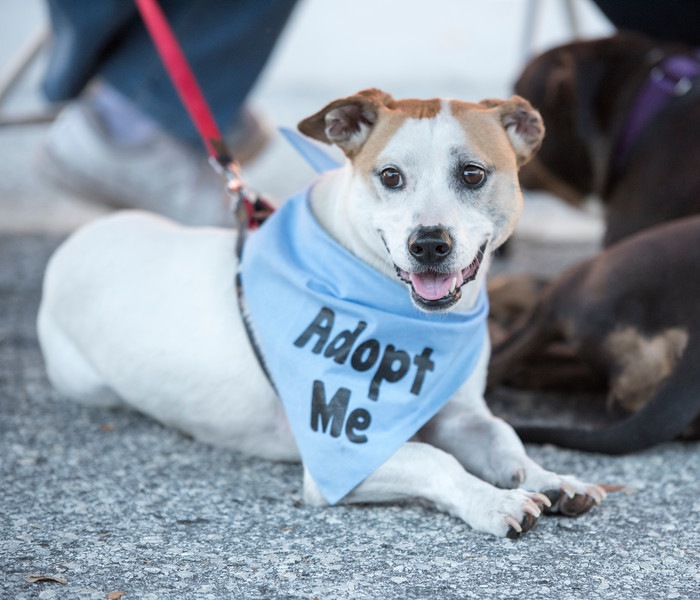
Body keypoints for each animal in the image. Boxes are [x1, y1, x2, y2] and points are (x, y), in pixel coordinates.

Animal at [38, 90, 608, 540]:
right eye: (390, 176)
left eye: (472, 173)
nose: (428, 244)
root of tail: (74, 242)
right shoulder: (344, 451)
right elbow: (435, 459)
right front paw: (494, 501)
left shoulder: (462, 415)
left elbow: (505, 440)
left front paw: (550, 478)